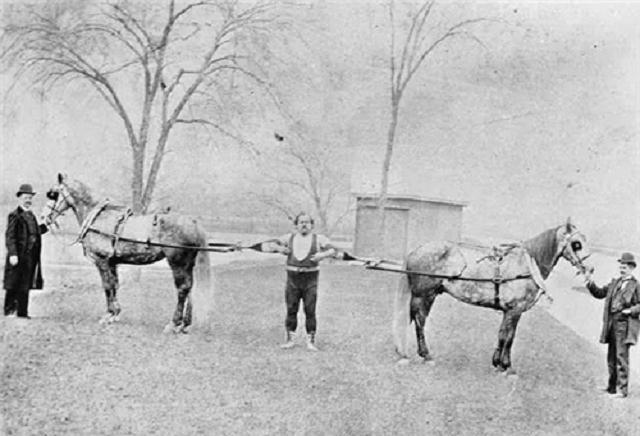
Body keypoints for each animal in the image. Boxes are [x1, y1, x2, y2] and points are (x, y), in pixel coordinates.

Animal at [44, 173, 213, 333]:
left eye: (54, 194)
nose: (44, 217)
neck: (98, 217)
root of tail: (193, 222)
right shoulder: (112, 262)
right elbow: (114, 285)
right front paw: (115, 313)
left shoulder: (102, 260)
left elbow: (107, 286)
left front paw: (108, 315)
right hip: (188, 264)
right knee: (189, 288)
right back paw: (185, 324)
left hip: (177, 262)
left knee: (182, 289)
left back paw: (174, 323)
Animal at [392, 218, 590, 374]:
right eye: (576, 244)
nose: (590, 269)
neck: (526, 265)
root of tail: (415, 251)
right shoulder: (515, 310)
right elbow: (509, 337)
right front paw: (507, 367)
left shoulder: (508, 311)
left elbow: (503, 334)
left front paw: (497, 362)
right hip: (424, 295)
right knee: (419, 321)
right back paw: (425, 355)